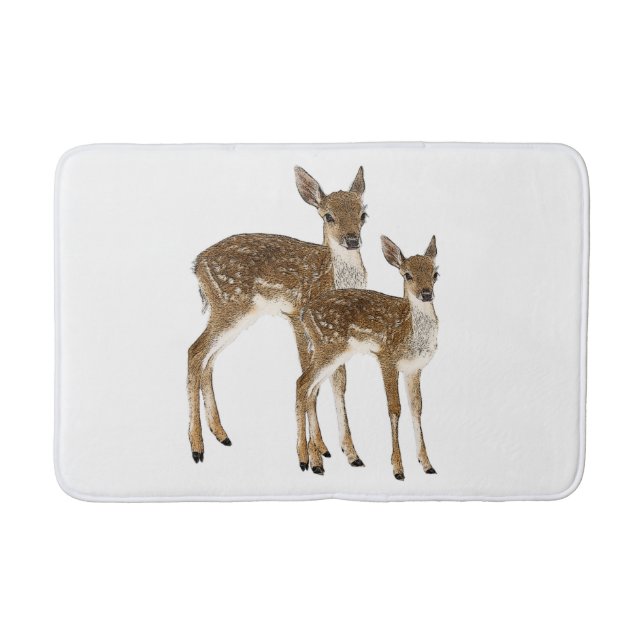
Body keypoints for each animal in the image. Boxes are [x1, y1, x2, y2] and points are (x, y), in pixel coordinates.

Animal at [188, 166, 369, 467]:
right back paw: (197, 448)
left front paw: (348, 453)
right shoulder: (298, 315)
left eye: (363, 214)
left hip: (237, 315)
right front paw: (315, 456)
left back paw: (221, 434)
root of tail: (196, 265)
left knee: (209, 359)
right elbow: (310, 381)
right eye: (328, 215)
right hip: (229, 306)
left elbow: (338, 381)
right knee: (195, 351)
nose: (352, 239)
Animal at [296, 234, 440, 480]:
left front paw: (427, 464)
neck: (410, 332)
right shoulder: (386, 357)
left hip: (333, 353)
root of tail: (304, 313)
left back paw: (323, 458)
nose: (426, 293)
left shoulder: (414, 368)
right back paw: (306, 460)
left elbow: (417, 408)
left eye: (435, 274)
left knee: (312, 389)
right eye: (407, 274)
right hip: (328, 347)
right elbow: (394, 408)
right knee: (302, 383)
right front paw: (398, 468)